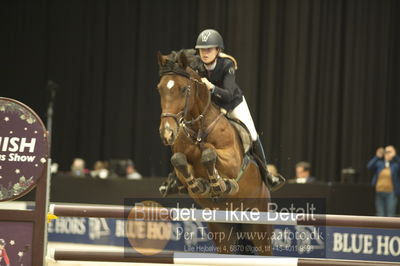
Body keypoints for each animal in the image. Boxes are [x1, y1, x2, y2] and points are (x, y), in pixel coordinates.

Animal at [156, 50, 272, 256]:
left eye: (184, 89)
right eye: (160, 89)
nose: (167, 133)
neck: (199, 132)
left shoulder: (233, 162)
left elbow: (209, 155)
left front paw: (220, 184)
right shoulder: (180, 164)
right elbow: (179, 160)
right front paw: (200, 185)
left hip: (260, 227)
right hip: (222, 229)